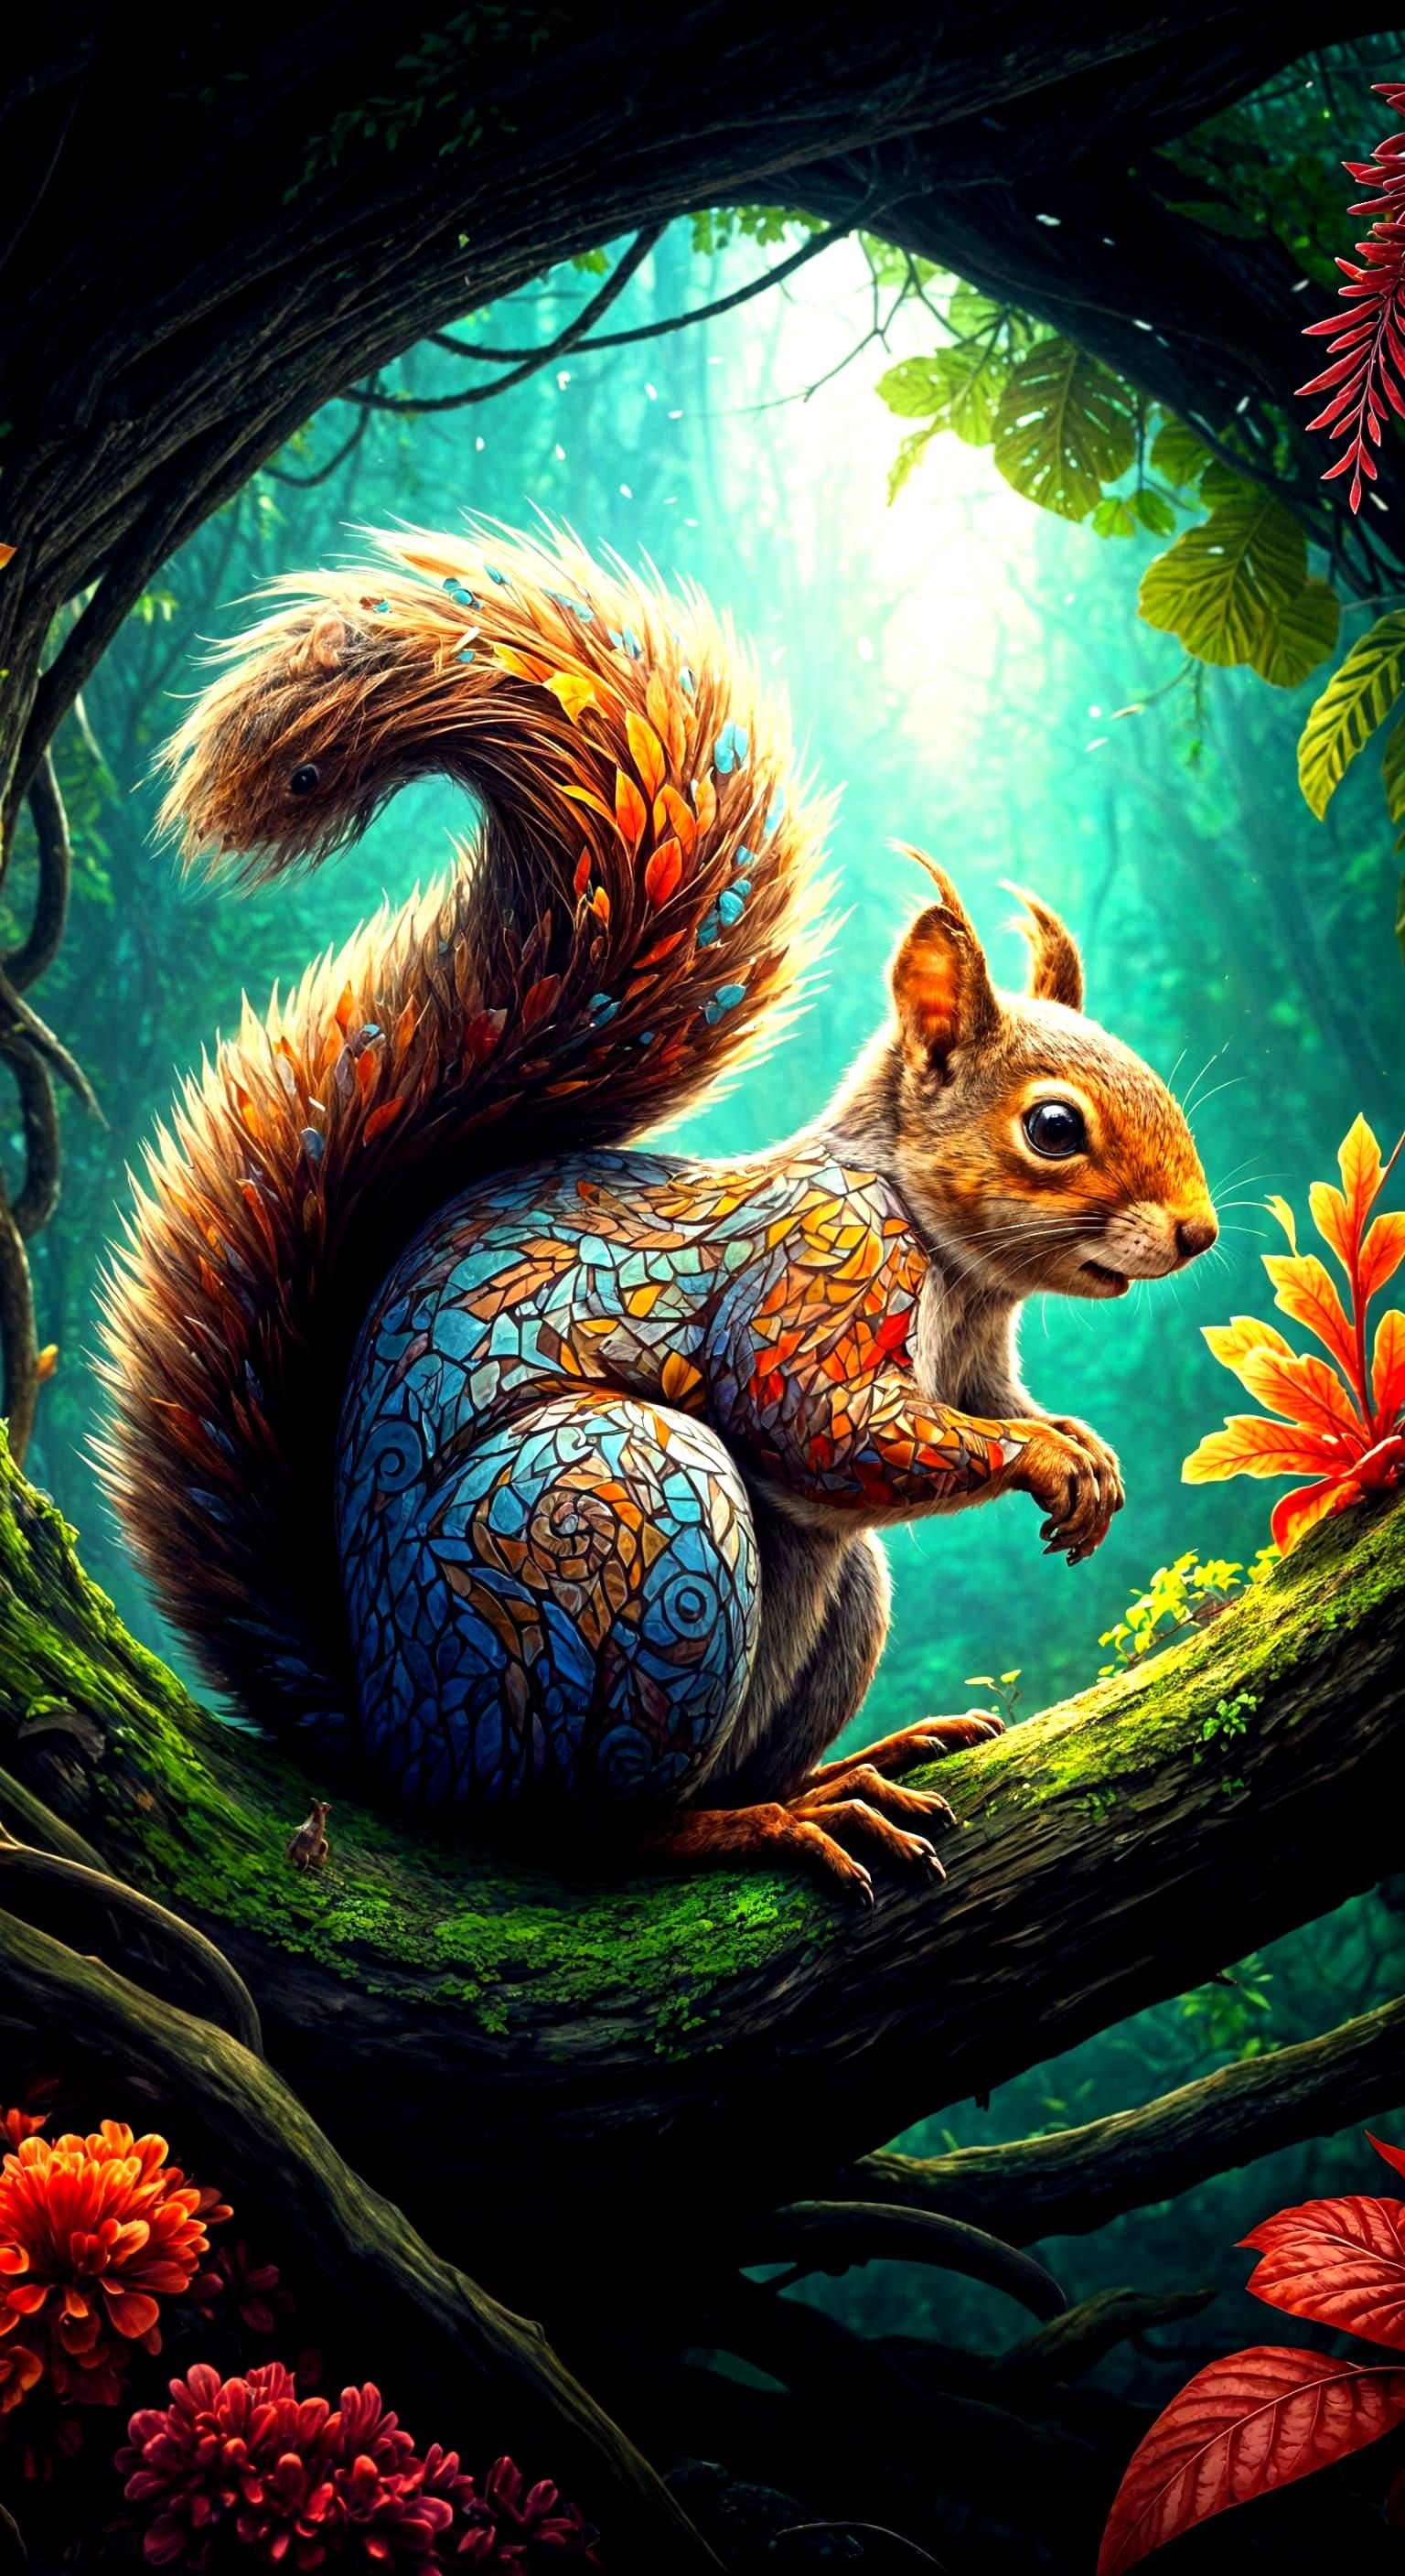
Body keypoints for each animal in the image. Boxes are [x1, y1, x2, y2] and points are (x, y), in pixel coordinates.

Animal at [96, 524, 1218, 1902]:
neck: (948, 1260)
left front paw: (1081, 1448)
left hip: (829, 1593)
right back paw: (765, 1822)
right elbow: (827, 1427)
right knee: (586, 1831)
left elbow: (988, 1406)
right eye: (1055, 1128)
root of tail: (394, 1742)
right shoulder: (815, 1273)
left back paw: (842, 1769)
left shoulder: (977, 1352)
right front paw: (1046, 1459)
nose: (1198, 1233)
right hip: (613, 1520)